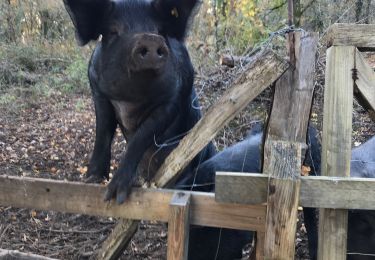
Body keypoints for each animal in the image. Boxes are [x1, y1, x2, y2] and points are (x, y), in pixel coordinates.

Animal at [63, 0, 216, 203]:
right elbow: (103, 131)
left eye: (160, 30)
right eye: (113, 31)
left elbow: (141, 136)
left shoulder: (174, 98)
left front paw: (116, 197)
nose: (149, 38)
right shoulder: (98, 91)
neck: (131, 100)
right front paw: (92, 180)